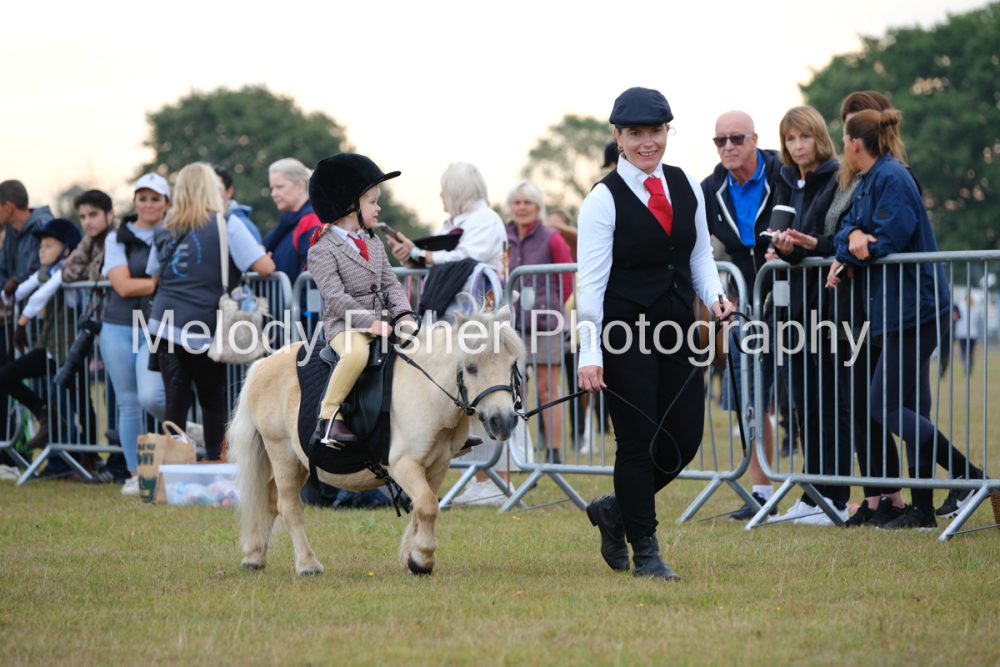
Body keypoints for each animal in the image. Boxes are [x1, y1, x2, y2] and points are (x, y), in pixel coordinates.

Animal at [228, 303, 526, 576]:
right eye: (471, 367)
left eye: (512, 364)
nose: (503, 421)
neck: (428, 390)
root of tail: (262, 364)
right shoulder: (403, 464)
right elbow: (427, 506)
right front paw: (422, 559)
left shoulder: (438, 465)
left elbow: (422, 506)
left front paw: (411, 557)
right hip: (281, 452)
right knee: (288, 506)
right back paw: (307, 564)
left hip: (300, 461)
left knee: (269, 500)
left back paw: (254, 556)